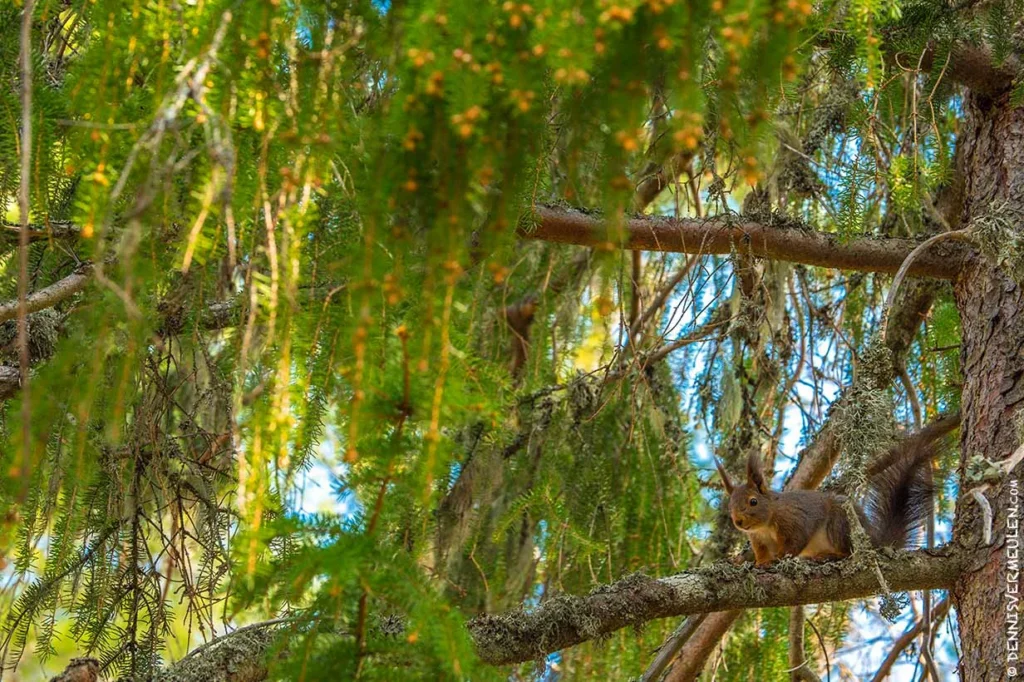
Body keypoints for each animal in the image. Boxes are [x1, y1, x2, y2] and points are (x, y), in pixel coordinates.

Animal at [714, 444, 936, 566]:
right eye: (729, 506)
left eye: (753, 501)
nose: (738, 521)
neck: (766, 523)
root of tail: (874, 542)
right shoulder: (758, 540)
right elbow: (762, 554)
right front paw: (761, 563)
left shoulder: (794, 520)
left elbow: (795, 541)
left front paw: (781, 557)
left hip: (840, 525)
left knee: (850, 553)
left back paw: (830, 555)